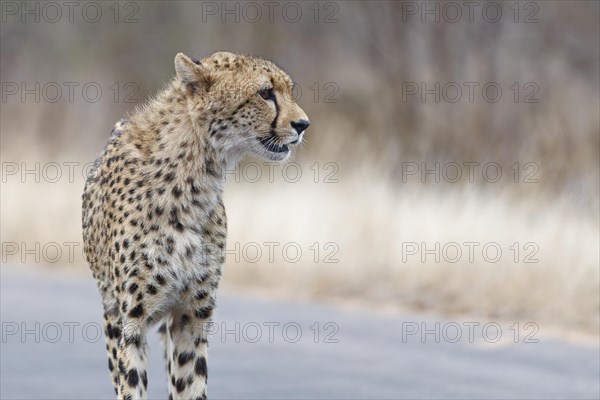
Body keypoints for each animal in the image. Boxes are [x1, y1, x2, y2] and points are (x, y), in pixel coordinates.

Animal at [81, 51, 310, 398]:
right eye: (265, 93)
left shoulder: (192, 317)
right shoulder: (132, 320)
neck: (196, 175)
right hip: (111, 314)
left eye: (288, 90)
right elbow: (132, 383)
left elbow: (190, 384)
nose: (303, 124)